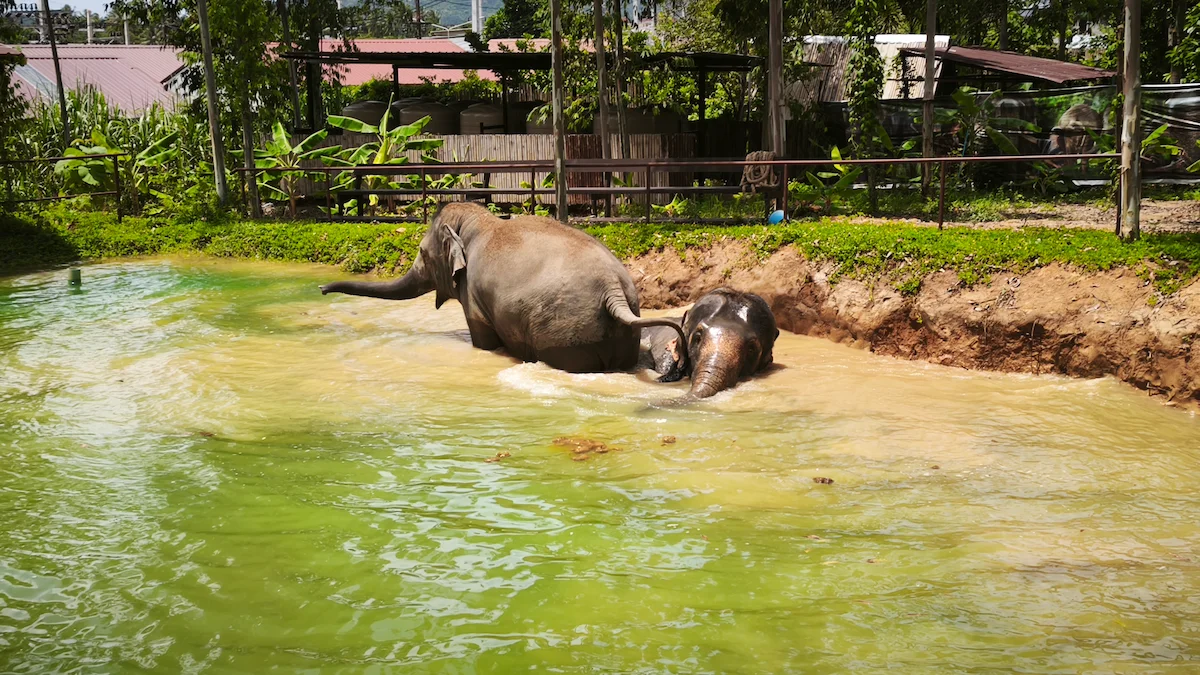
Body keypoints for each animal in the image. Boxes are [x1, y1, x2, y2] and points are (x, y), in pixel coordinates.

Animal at [319, 202, 686, 373]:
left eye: (422, 254)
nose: (321, 289)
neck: (477, 221)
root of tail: (614, 292)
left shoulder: (474, 295)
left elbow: (483, 340)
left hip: (566, 334)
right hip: (622, 335)